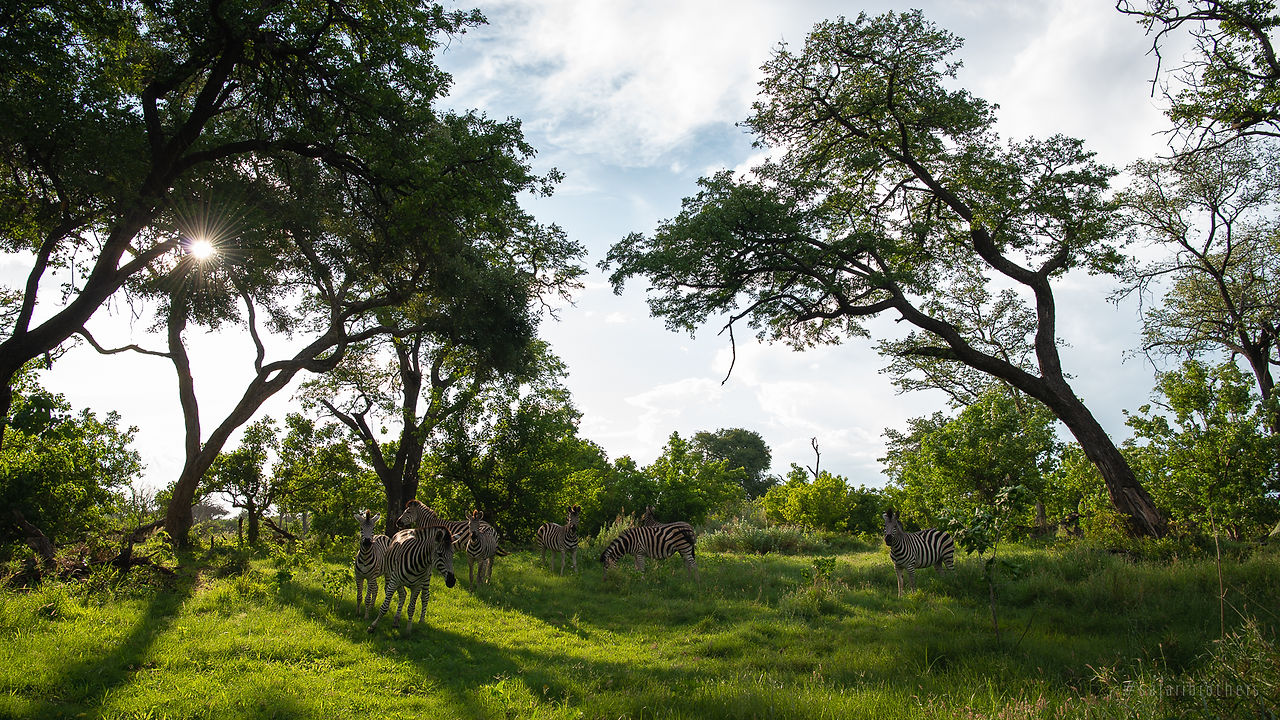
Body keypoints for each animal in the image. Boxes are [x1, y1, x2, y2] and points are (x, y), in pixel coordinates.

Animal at [366, 501, 457, 635]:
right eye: (440, 554)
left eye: (452, 554)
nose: (452, 581)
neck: (418, 564)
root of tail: (407, 529)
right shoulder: (394, 580)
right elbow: (385, 606)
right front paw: (372, 626)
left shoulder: (417, 586)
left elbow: (411, 608)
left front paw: (408, 631)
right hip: (394, 577)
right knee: (402, 594)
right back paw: (396, 620)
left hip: (426, 579)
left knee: (424, 596)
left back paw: (417, 621)